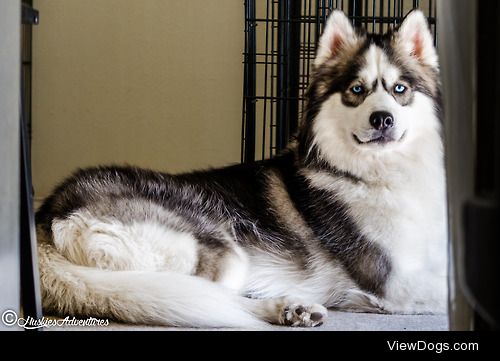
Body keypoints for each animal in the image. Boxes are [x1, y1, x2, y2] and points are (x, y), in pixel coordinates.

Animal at [37, 10, 448, 326]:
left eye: (399, 89)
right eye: (357, 90)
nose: (382, 119)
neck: (378, 175)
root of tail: (48, 212)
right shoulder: (392, 280)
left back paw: (289, 310)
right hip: (221, 249)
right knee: (208, 298)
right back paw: (285, 306)